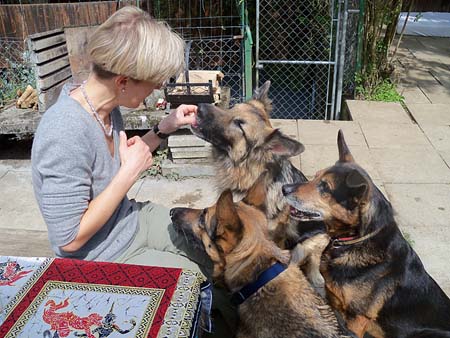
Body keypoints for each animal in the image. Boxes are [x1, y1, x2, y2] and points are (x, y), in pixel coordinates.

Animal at [284, 130, 450, 338]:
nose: (284, 189)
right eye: (314, 177)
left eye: (325, 187)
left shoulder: (358, 318)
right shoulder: (333, 301)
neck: (354, 241)